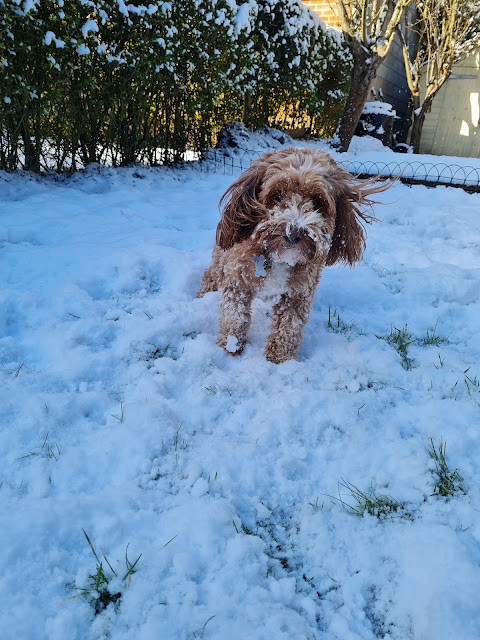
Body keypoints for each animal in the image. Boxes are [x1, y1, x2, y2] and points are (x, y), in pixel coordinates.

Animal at [199, 146, 390, 364]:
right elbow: (234, 317)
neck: (279, 258)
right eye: (277, 196)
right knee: (209, 275)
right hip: (220, 259)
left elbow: (288, 327)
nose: (293, 232)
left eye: (317, 201)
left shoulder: (299, 293)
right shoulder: (236, 279)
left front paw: (280, 360)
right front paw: (230, 346)